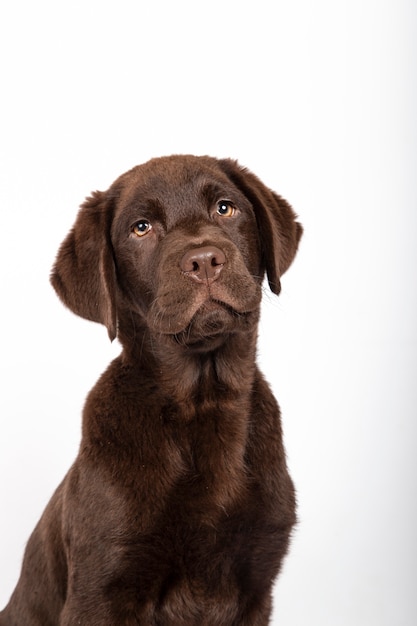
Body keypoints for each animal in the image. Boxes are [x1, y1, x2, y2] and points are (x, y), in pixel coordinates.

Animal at [0, 154, 300, 620]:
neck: (204, 400)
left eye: (225, 208)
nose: (204, 260)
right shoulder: (100, 589)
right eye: (141, 228)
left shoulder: (257, 583)